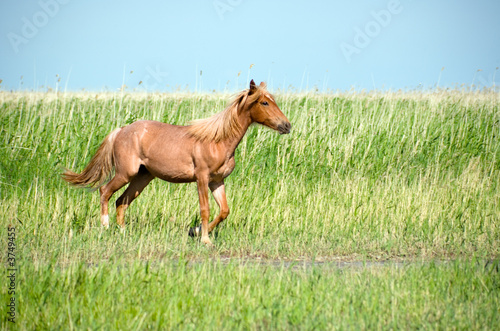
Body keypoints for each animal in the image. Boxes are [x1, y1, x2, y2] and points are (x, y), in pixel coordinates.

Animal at [62, 80, 292, 246]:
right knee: (105, 191)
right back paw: (106, 226)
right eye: (264, 102)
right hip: (125, 173)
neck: (217, 141)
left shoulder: (217, 181)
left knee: (122, 200)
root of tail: (121, 130)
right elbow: (205, 209)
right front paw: (205, 239)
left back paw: (123, 231)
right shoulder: (202, 178)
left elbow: (224, 210)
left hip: (142, 177)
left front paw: (195, 231)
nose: (287, 125)